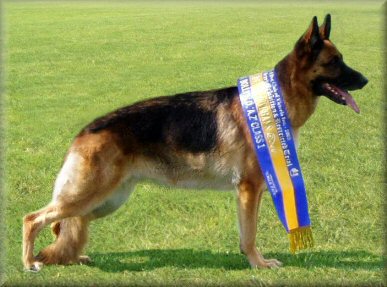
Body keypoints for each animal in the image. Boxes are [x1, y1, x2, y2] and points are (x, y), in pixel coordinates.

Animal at [22, 15, 368, 272]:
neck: (277, 98)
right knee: (33, 219)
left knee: (61, 226)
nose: (366, 80)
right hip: (89, 195)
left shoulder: (251, 190)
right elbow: (250, 234)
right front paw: (258, 264)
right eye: (335, 61)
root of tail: (84, 131)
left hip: (105, 201)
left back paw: (70, 258)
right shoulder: (249, 189)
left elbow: (247, 233)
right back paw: (30, 263)